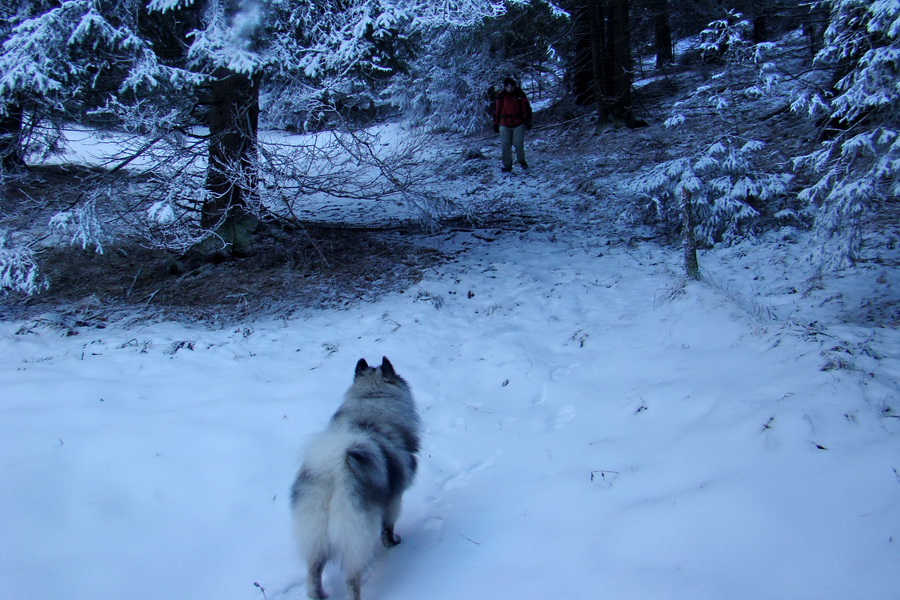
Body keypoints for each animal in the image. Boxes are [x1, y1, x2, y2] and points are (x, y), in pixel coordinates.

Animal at [294, 358, 424, 596]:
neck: (372, 402)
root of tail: (333, 469)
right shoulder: (394, 499)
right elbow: (388, 527)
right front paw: (393, 542)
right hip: (354, 535)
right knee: (352, 578)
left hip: (315, 533)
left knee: (313, 570)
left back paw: (319, 595)